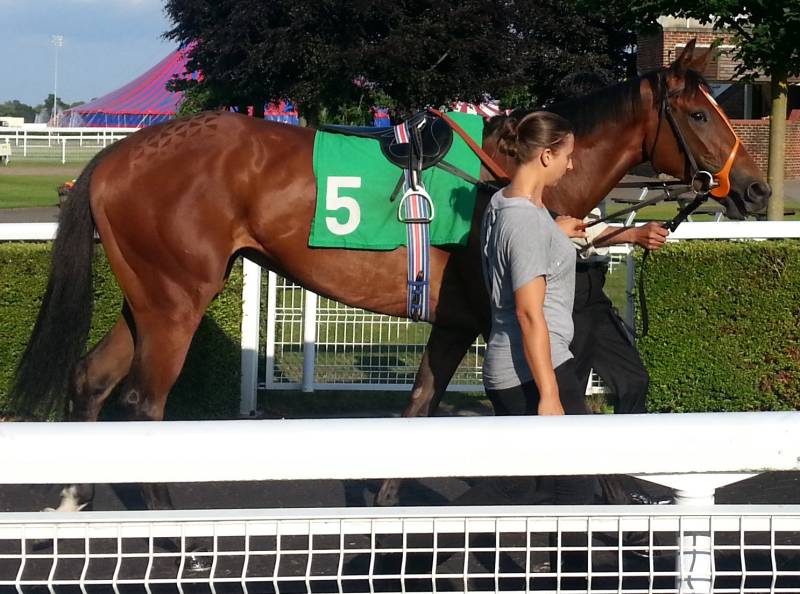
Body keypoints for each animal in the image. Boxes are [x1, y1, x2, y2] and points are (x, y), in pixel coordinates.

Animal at [8, 40, 769, 514]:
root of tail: (115, 155)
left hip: (153, 294)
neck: (513, 179)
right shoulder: (501, 320)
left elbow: (419, 407)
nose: (758, 190)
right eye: (698, 112)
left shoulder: (456, 321)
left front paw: (385, 504)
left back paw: (74, 496)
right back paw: (178, 539)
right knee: (143, 403)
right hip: (177, 299)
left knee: (93, 378)